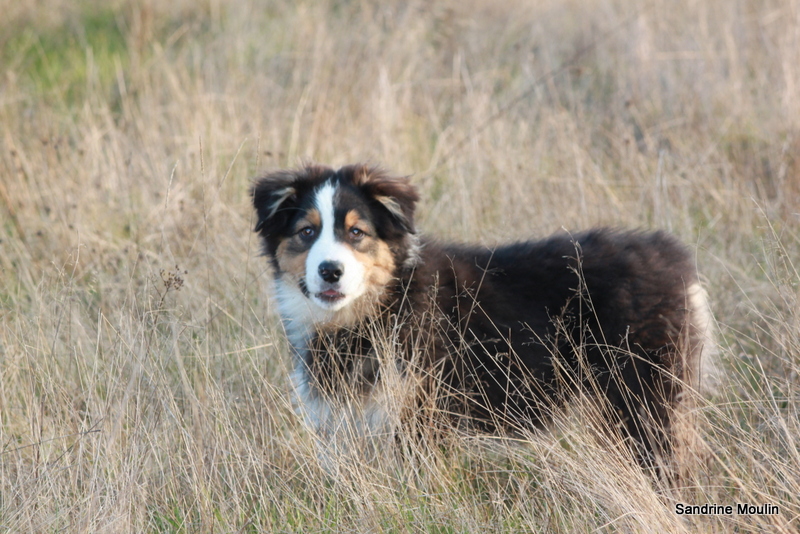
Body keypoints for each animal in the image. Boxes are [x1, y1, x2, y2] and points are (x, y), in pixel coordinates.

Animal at [252, 163, 720, 478]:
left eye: (356, 233)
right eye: (307, 232)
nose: (330, 271)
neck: (378, 304)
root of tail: (674, 259)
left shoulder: (422, 414)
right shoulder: (341, 424)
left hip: (641, 393)